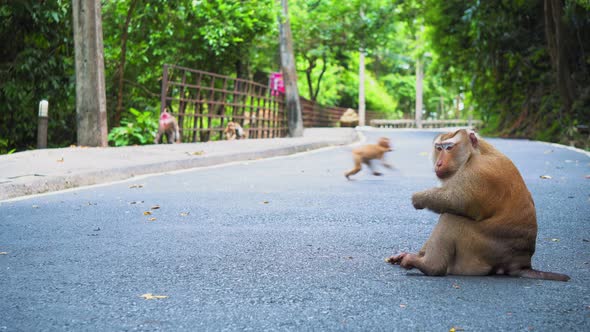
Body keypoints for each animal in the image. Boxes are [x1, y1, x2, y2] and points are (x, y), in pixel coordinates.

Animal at [386, 128, 572, 282]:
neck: (475, 153)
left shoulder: (478, 173)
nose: (438, 163)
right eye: (438, 148)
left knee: (451, 218)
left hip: (479, 251)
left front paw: (419, 198)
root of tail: (521, 262)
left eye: (449, 148)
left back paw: (430, 266)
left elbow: (456, 201)